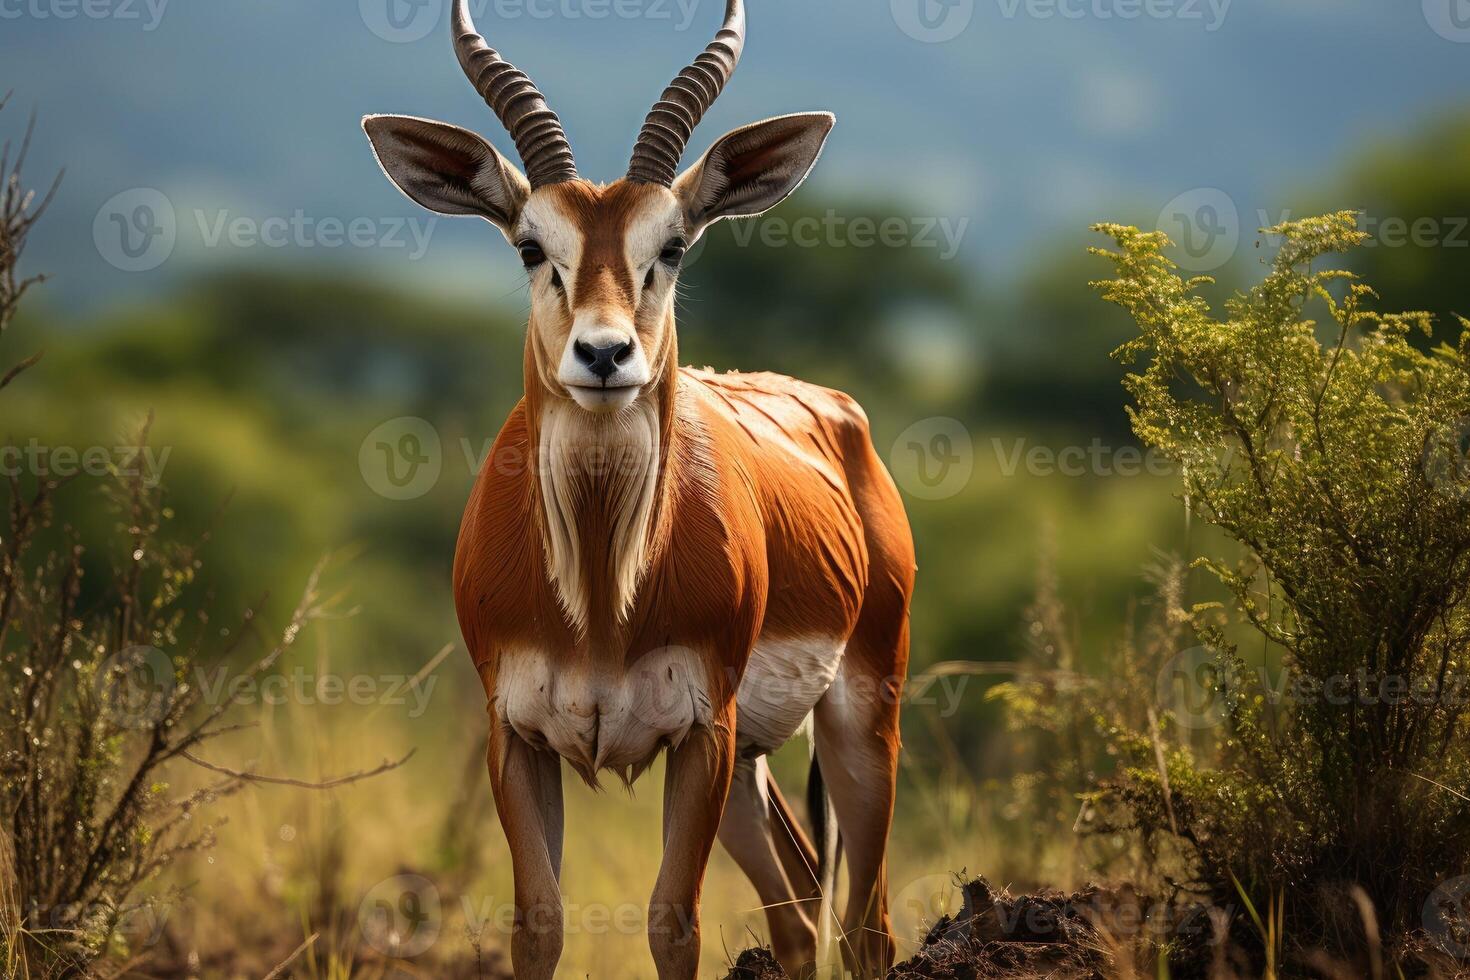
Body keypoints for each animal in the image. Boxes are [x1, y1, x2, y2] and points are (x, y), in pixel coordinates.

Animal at [361, 3, 911, 975]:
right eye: (531, 244)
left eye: (675, 245)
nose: (605, 354)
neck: (599, 603)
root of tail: (842, 419)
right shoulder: (518, 734)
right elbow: (538, 923)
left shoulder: (701, 731)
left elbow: (671, 922)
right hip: (752, 766)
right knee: (800, 903)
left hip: (858, 720)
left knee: (865, 923)